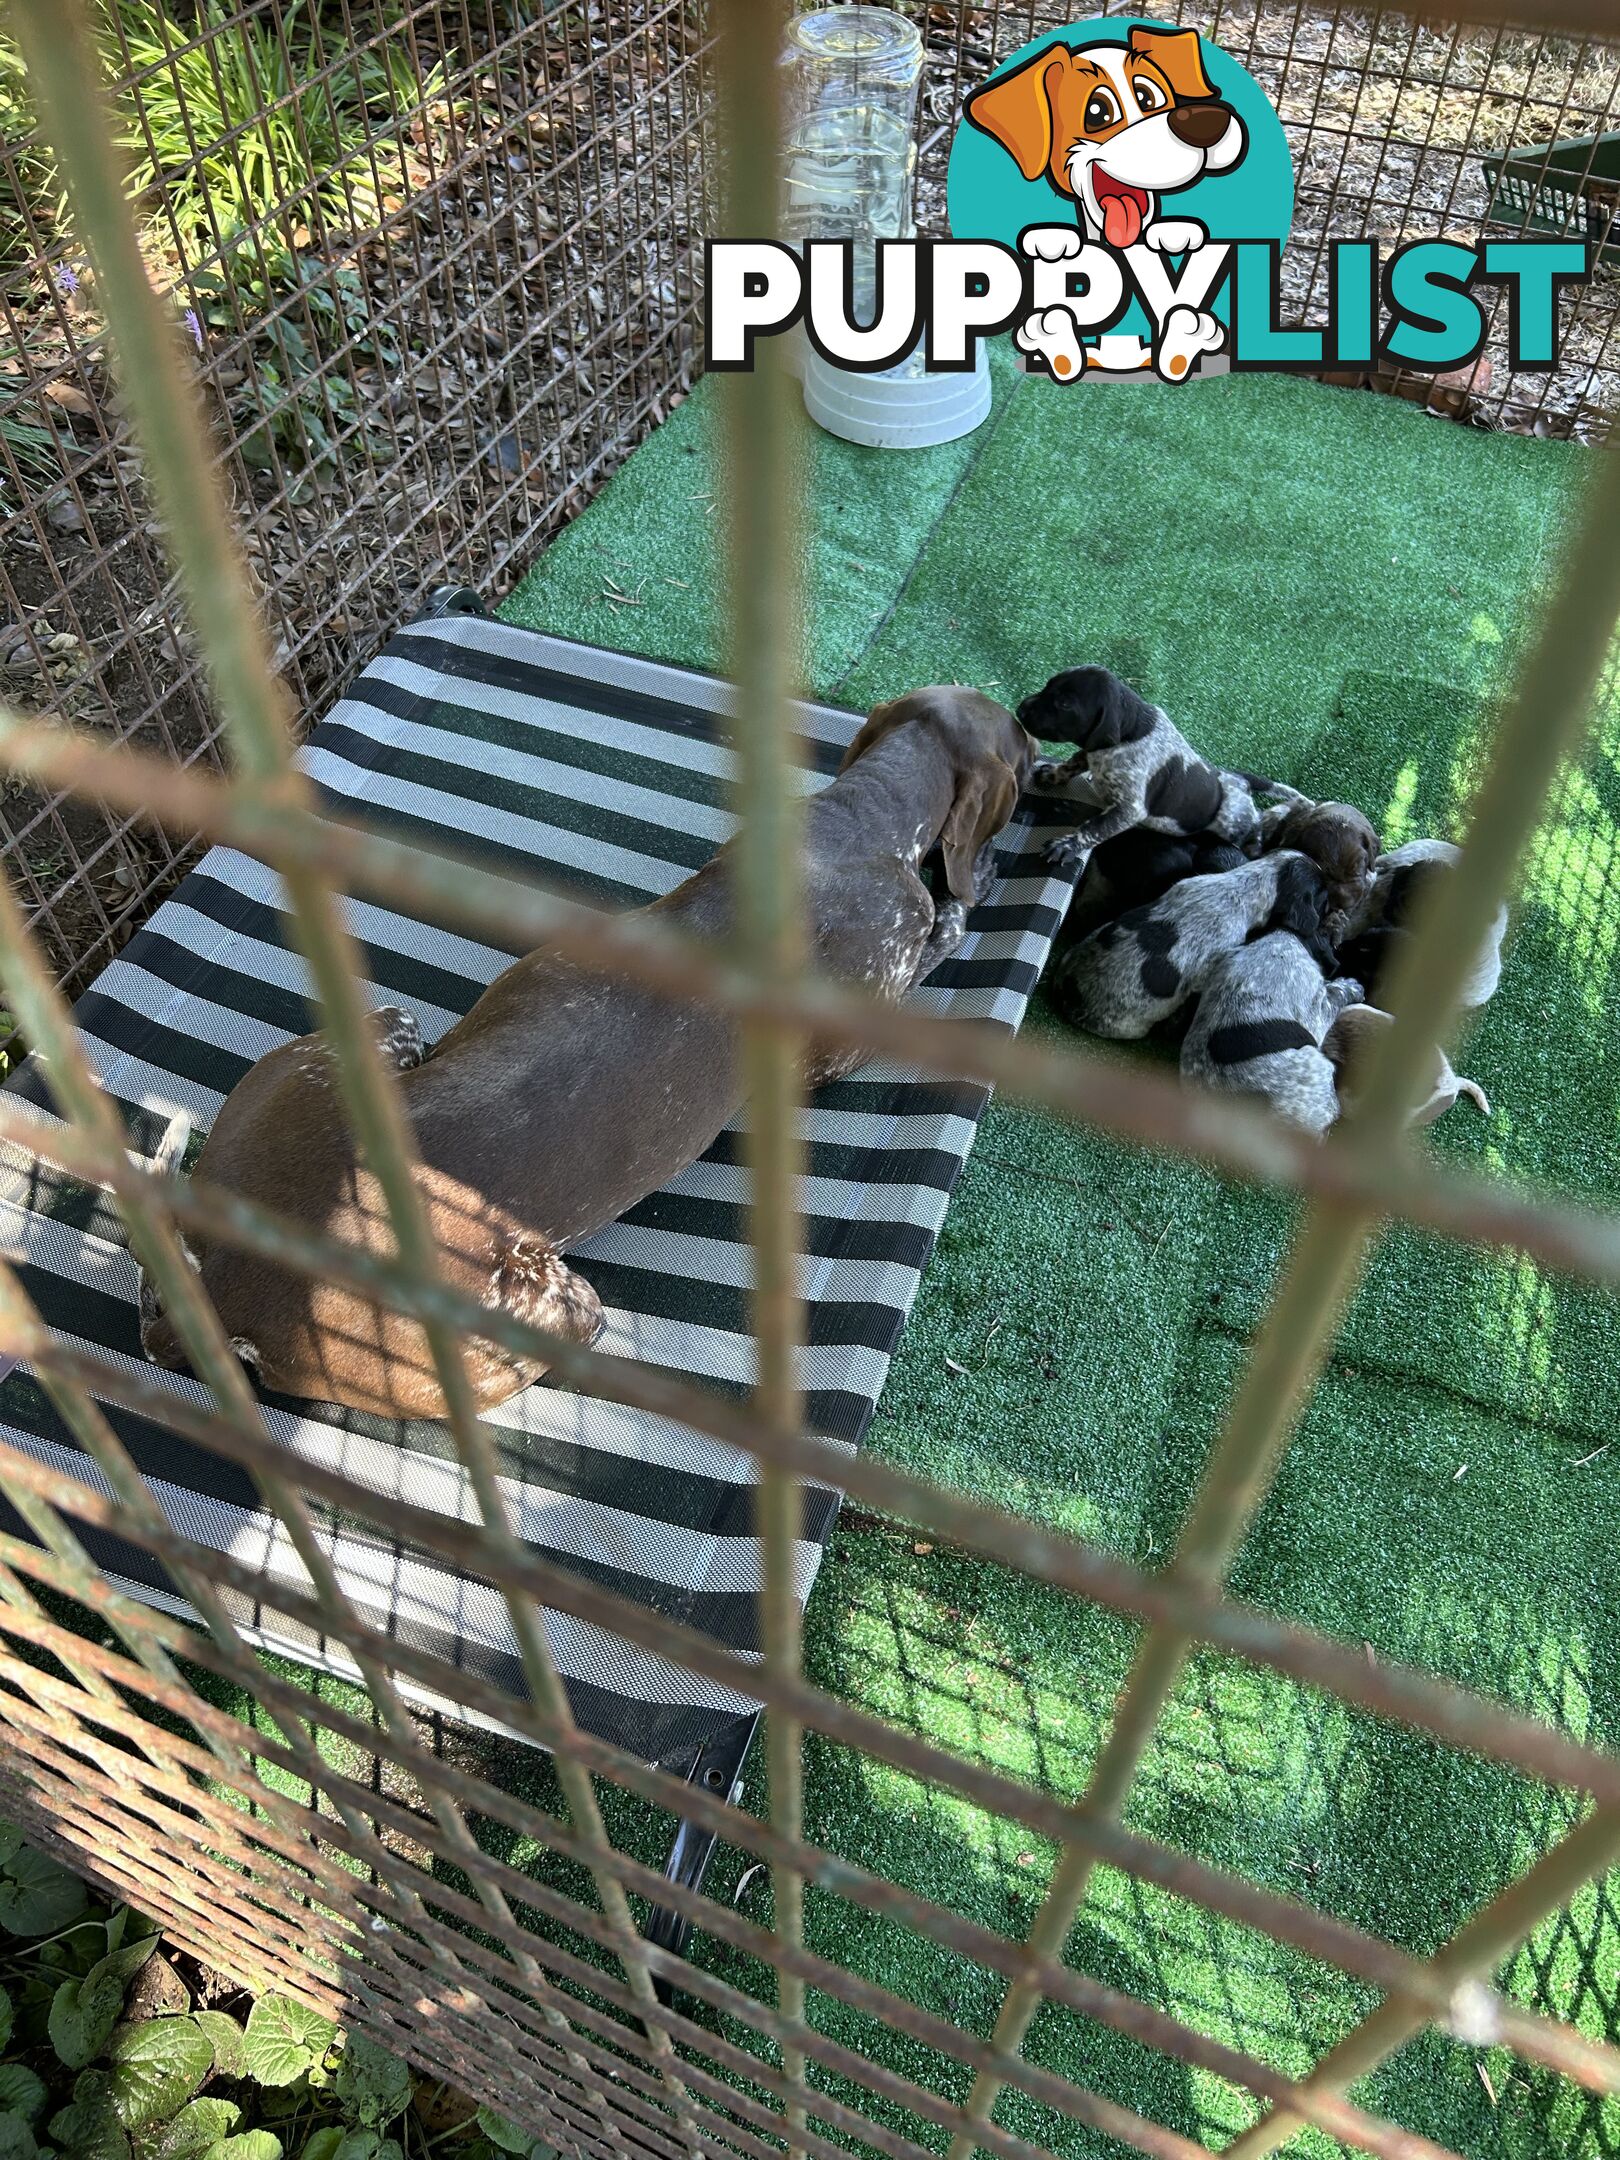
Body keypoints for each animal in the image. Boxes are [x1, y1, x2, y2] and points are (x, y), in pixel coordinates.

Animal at [136, 678, 1028, 1416]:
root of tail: (228, 1289)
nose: (1048, 752)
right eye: (1023, 739)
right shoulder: (865, 1017)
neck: (856, 824)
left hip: (365, 1035)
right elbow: (951, 923)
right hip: (559, 1306)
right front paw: (981, 875)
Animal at [1019, 660, 1278, 872]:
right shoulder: (1092, 750)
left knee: (1256, 821)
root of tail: (1238, 780)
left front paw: (1068, 844)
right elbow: (1072, 763)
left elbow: (1094, 828)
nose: (1021, 709)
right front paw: (1053, 775)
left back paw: (1255, 843)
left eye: (1064, 703)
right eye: (1049, 683)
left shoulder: (1130, 809)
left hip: (1231, 819)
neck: (1131, 731)